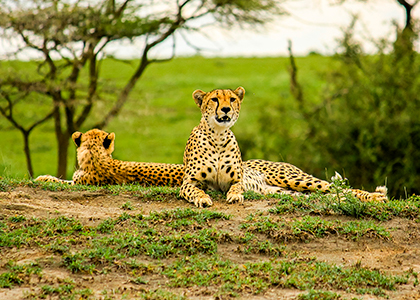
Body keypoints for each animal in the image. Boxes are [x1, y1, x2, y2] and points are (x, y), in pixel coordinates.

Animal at [178, 87, 388, 206]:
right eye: (214, 99)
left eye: (232, 99)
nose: (226, 109)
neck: (218, 135)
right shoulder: (188, 182)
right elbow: (194, 190)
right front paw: (202, 198)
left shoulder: (236, 180)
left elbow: (237, 187)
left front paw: (235, 196)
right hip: (287, 190)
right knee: (331, 193)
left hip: (293, 179)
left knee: (340, 188)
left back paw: (376, 197)